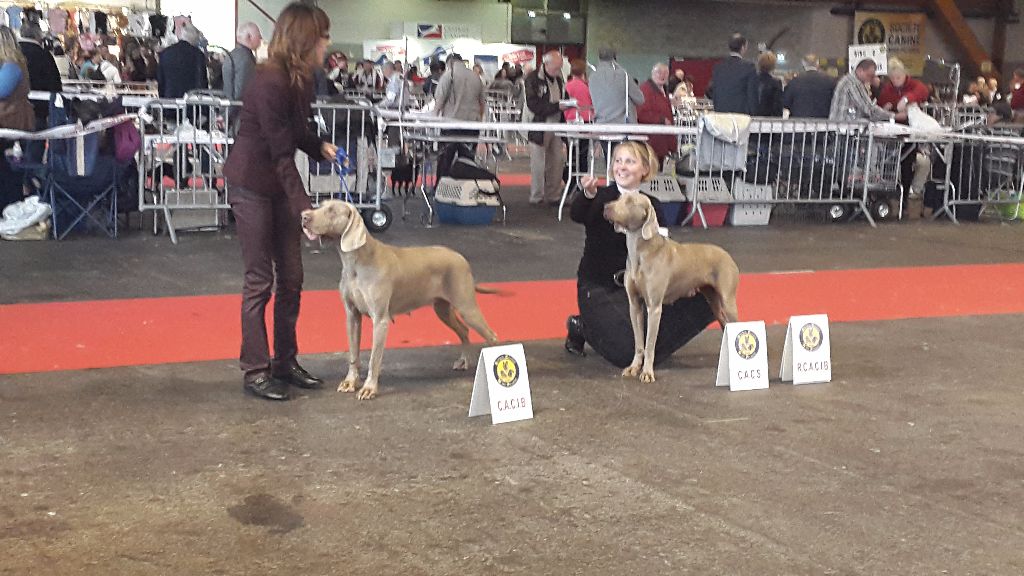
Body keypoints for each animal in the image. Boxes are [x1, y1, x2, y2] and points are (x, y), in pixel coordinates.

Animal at [299, 199, 499, 397]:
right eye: (321, 205)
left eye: (332, 211)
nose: (304, 216)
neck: (355, 262)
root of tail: (461, 258)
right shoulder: (352, 315)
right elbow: (353, 353)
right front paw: (350, 382)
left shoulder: (380, 320)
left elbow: (374, 358)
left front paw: (369, 388)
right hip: (442, 309)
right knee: (464, 330)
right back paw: (463, 361)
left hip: (467, 307)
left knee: (492, 335)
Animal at [602, 191, 741, 381]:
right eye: (618, 198)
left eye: (630, 201)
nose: (606, 207)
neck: (639, 252)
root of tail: (728, 255)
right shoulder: (635, 305)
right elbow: (639, 343)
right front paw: (634, 368)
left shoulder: (654, 308)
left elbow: (649, 344)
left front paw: (647, 372)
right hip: (713, 302)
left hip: (727, 301)